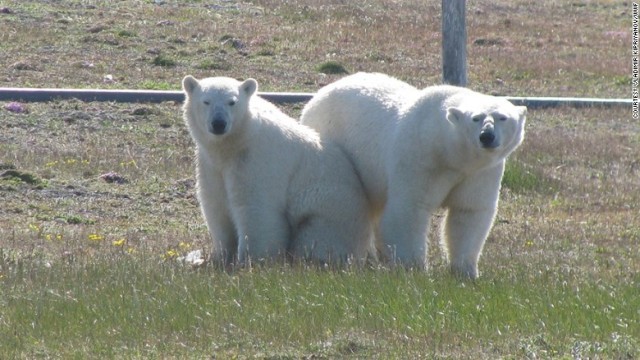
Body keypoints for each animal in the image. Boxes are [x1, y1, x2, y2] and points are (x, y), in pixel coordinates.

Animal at [182, 76, 372, 268]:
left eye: (232, 102)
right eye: (206, 101)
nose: (219, 124)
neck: (235, 143)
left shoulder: (255, 160)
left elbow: (256, 209)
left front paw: (249, 262)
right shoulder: (210, 165)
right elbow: (216, 206)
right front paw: (219, 259)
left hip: (329, 211)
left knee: (316, 238)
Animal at [302, 71, 528, 278]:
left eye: (502, 117)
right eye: (476, 118)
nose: (487, 136)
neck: (448, 151)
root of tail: (319, 94)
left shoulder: (480, 172)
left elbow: (469, 212)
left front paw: (466, 271)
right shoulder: (420, 157)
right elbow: (409, 208)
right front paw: (414, 267)